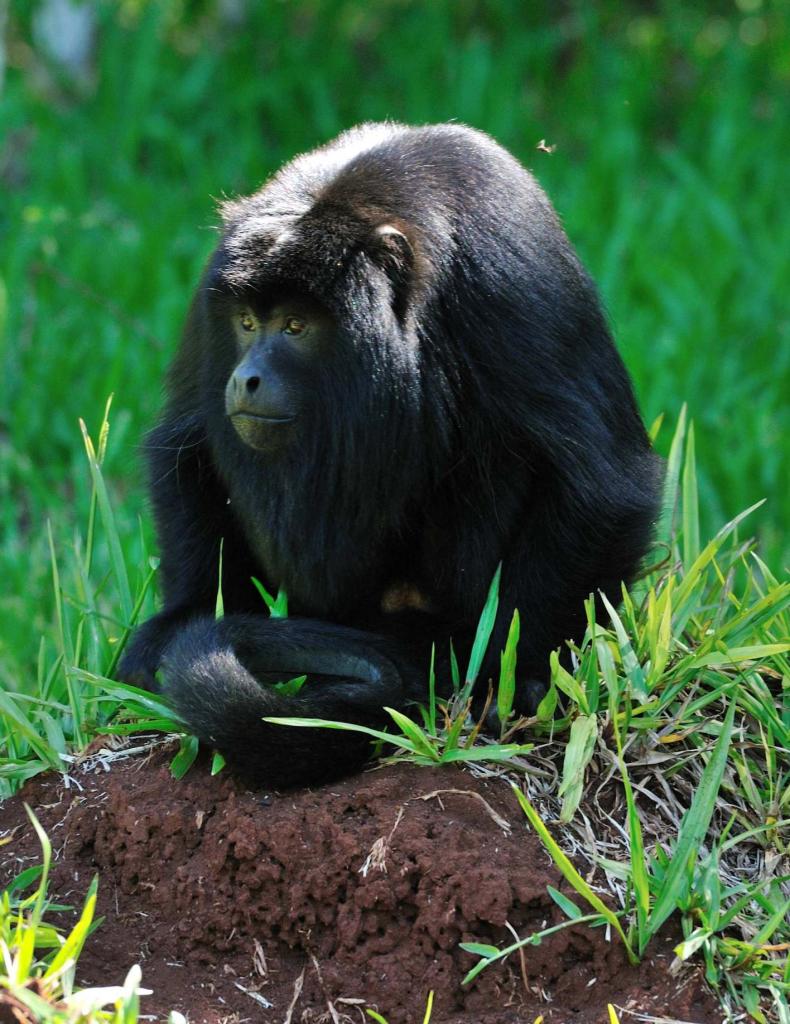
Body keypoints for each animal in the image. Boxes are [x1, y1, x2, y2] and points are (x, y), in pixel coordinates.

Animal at [117, 122, 662, 787]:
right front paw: (186, 617)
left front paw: (511, 673)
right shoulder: (210, 295)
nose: (246, 377)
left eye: (295, 326)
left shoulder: (513, 282)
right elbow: (185, 444)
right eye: (247, 322)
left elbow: (603, 484)